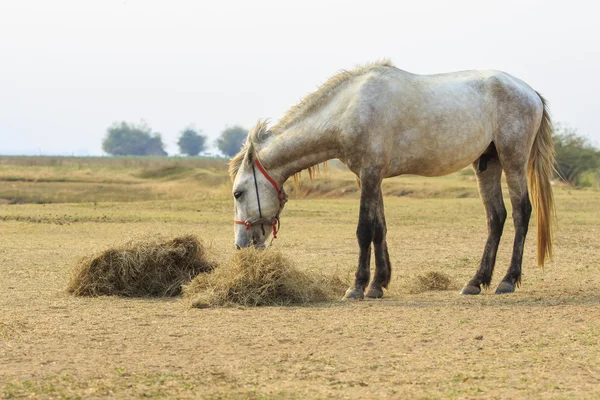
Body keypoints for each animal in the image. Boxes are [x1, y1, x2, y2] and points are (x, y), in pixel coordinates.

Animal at [227, 61, 556, 300]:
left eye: (238, 193)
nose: (241, 246)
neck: (349, 108)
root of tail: (530, 92)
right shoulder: (369, 178)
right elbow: (379, 228)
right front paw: (378, 284)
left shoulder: (371, 174)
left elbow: (364, 230)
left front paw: (357, 286)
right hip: (487, 165)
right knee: (496, 217)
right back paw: (476, 282)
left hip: (513, 161)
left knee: (521, 213)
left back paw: (508, 280)